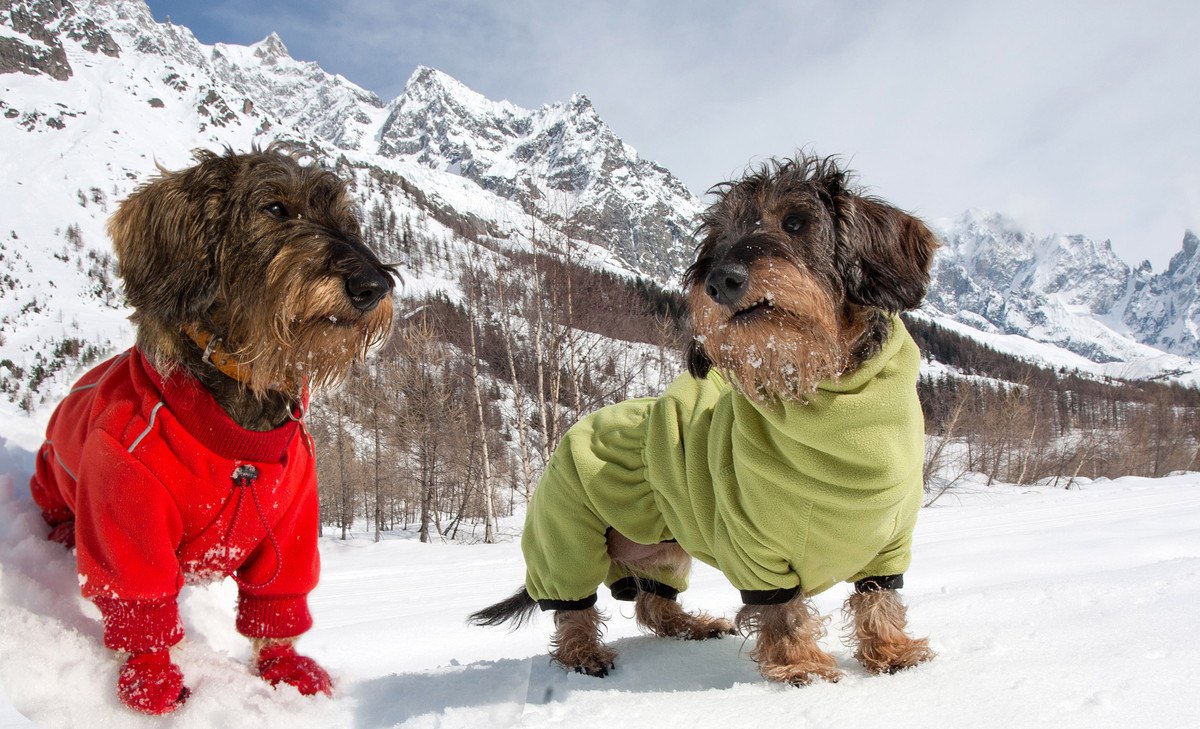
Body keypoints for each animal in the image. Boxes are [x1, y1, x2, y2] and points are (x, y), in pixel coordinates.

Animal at [28, 145, 396, 714]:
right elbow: (140, 606)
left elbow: (278, 599)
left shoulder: (292, 523)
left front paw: (284, 667)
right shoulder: (127, 515)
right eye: (274, 208)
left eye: (347, 220)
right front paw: (150, 679)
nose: (372, 286)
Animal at [468, 152, 936, 681]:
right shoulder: (758, 553)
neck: (825, 399)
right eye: (718, 240)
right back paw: (583, 653)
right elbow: (785, 611)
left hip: (663, 551)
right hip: (568, 540)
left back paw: (692, 625)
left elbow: (879, 599)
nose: (720, 281)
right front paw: (799, 662)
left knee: (653, 604)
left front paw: (891, 650)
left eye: (795, 222)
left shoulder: (889, 546)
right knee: (575, 610)